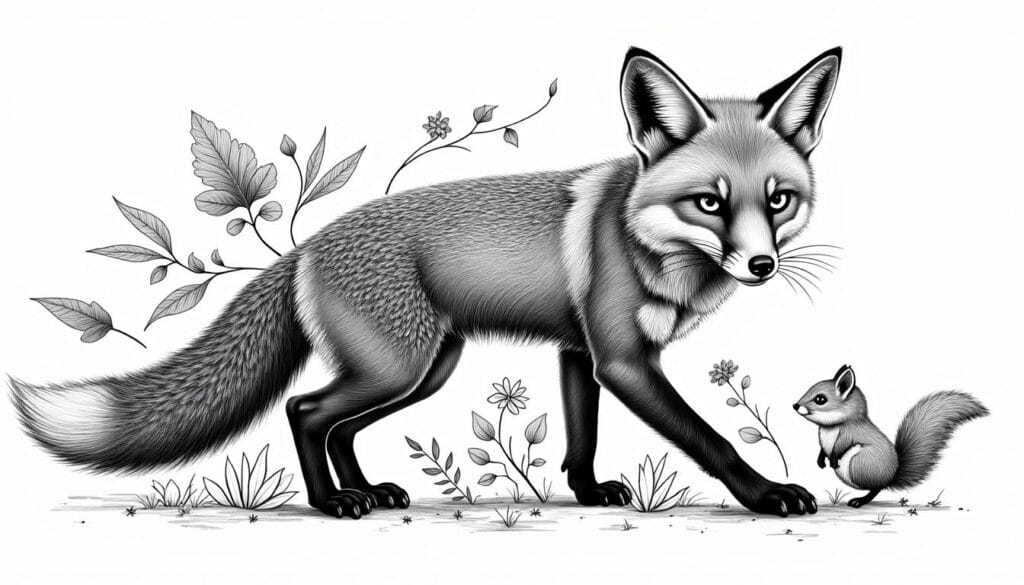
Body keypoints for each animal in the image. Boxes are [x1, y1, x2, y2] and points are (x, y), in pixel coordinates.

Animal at [11, 46, 842, 519]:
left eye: (777, 200)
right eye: (710, 202)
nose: (761, 265)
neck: (646, 240)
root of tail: (306, 245)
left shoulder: (583, 352)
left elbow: (582, 438)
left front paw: (586, 491)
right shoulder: (624, 359)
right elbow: (711, 439)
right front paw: (768, 494)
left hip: (423, 367)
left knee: (338, 424)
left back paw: (369, 491)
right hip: (398, 365)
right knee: (305, 410)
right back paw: (332, 502)